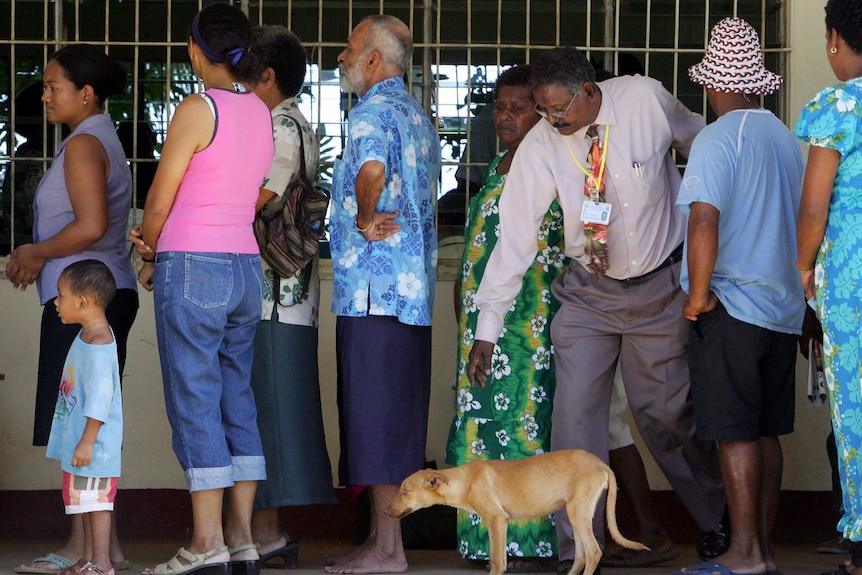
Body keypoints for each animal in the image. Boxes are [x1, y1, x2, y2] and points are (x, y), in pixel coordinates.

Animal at [386, 450, 648, 575]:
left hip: (578, 513)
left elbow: (498, 562)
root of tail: (602, 464)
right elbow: (494, 558)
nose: (386, 510)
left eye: (405, 491)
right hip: (575, 513)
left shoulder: (498, 519)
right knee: (582, 555)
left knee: (593, 552)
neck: (465, 480)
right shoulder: (492, 523)